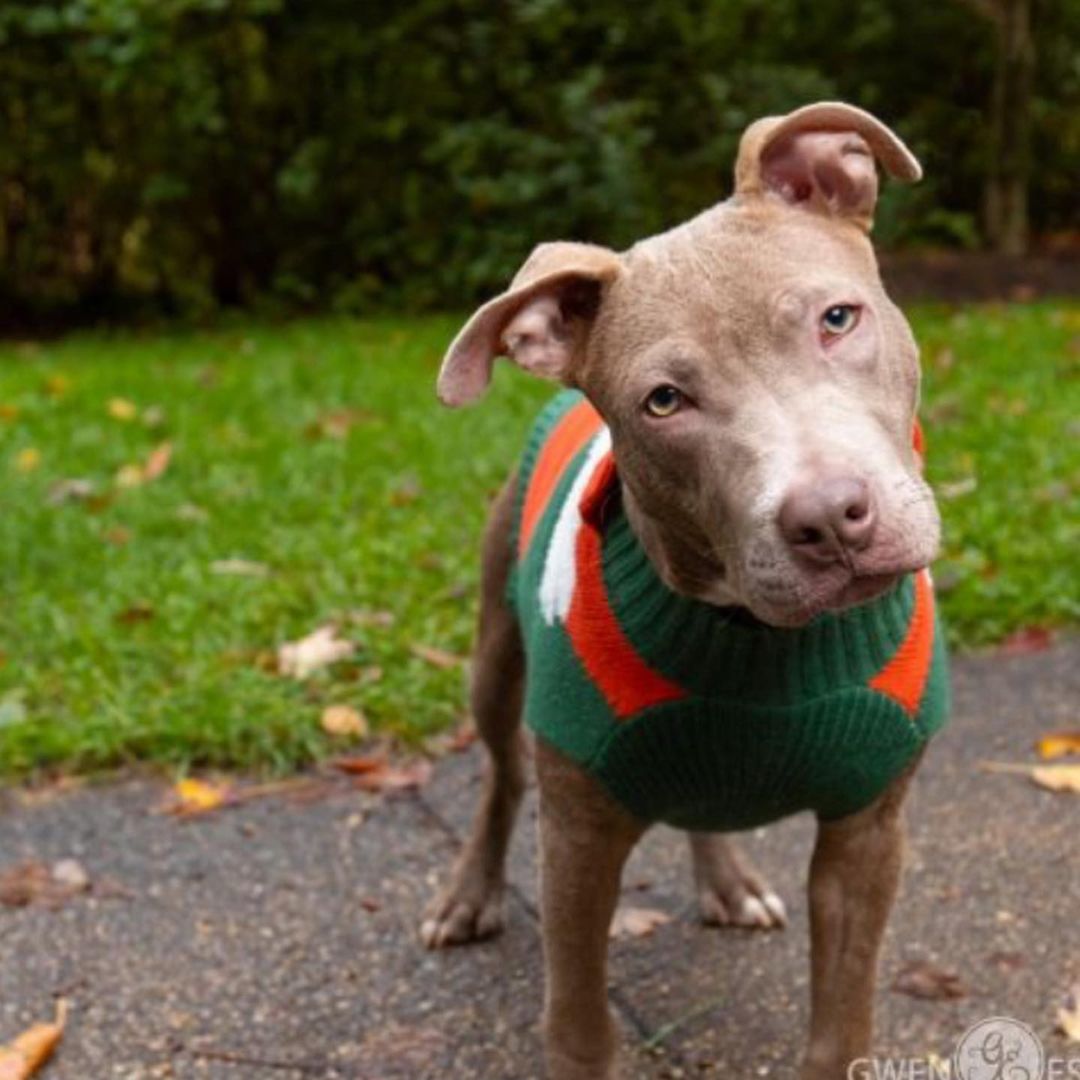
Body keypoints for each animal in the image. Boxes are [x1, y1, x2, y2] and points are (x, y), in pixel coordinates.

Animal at [423, 103, 954, 1080]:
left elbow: (842, 1024)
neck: (760, 643)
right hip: (494, 657)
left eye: (837, 318)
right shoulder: (579, 842)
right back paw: (469, 895)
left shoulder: (867, 835)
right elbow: (580, 1024)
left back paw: (728, 881)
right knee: (501, 778)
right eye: (665, 402)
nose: (831, 519)